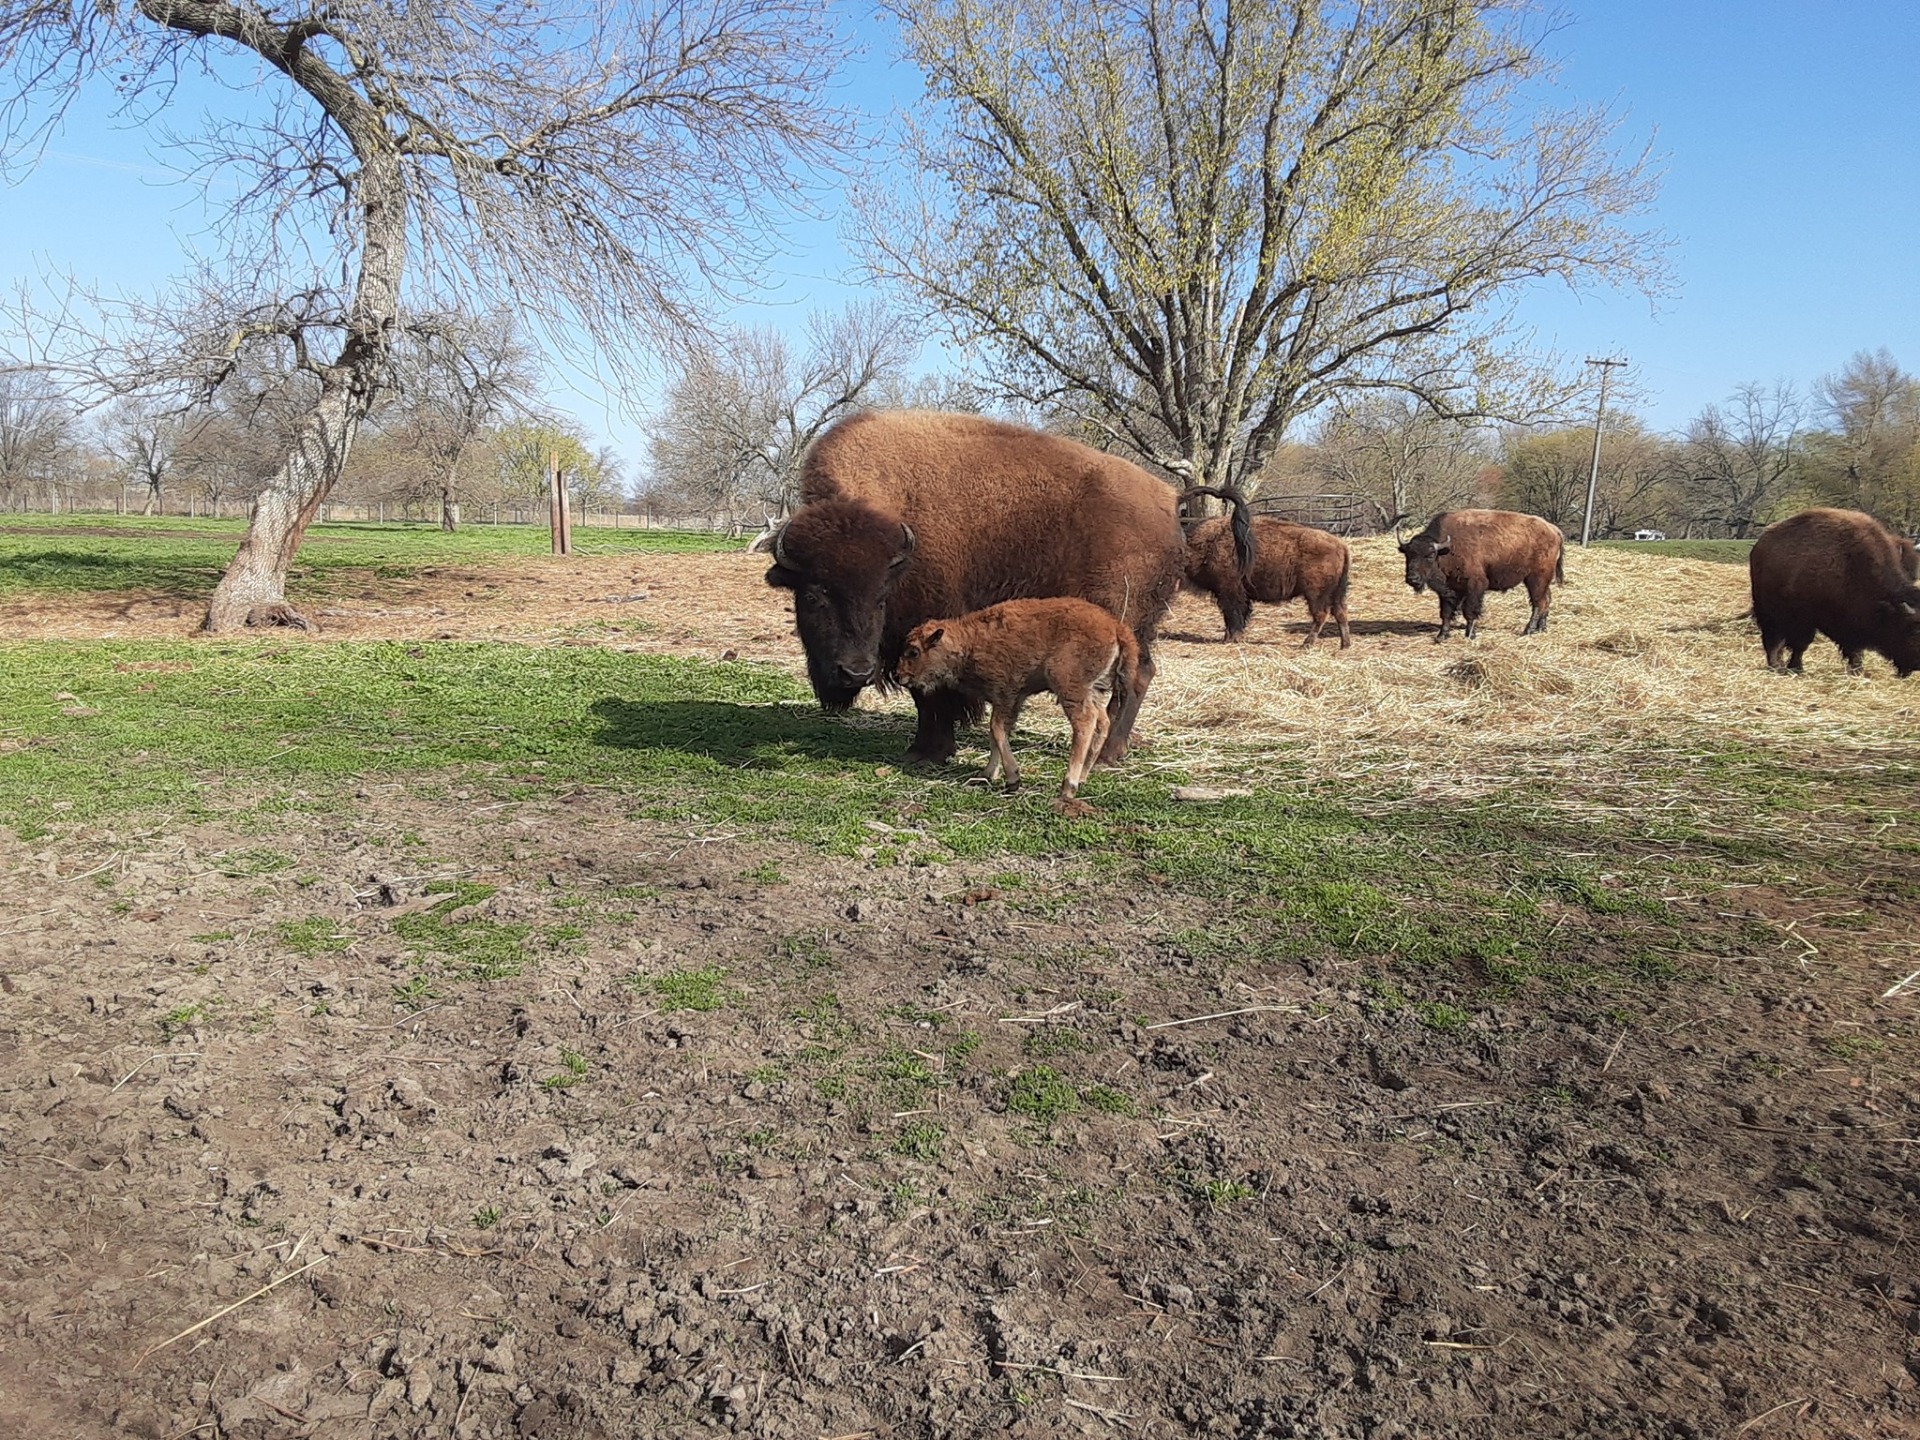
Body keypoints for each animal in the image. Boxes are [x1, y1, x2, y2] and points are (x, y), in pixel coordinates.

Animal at [765, 410, 1250, 762]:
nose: (855, 672)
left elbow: (929, 692)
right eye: (812, 595)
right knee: (1136, 678)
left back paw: (1109, 755)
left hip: (1123, 617)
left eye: (881, 596)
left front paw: (929, 752)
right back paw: (1112, 747)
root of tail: (1170, 500)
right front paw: (924, 748)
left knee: (1134, 678)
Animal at [1185, 516, 1351, 647]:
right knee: (1340, 613)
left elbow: (1233, 615)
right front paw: (1230, 638)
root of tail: (1341, 545)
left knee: (1321, 614)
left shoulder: (1229, 590)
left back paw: (1307, 643)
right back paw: (1345, 645)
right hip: (1337, 593)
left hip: (1315, 594)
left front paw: (1230, 639)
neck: (1208, 543)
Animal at [1399, 509, 1566, 641]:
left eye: (1430, 555)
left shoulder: (1475, 585)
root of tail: (1554, 530)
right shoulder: (1449, 589)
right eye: (1408, 554)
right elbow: (1445, 612)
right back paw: (1541, 628)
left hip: (1536, 579)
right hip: (1541, 581)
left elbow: (1469, 611)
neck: (1446, 549)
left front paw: (1470, 634)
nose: (1412, 578)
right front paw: (1441, 636)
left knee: (1538, 603)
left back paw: (1528, 630)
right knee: (1546, 600)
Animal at [1749, 507, 1920, 675]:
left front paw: (1857, 670)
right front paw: (1797, 668)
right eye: (1913, 630)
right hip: (1767, 612)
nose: (1916, 665)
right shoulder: (1805, 619)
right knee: (1772, 639)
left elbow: (1855, 648)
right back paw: (1775, 665)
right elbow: (1801, 644)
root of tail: (1759, 545)